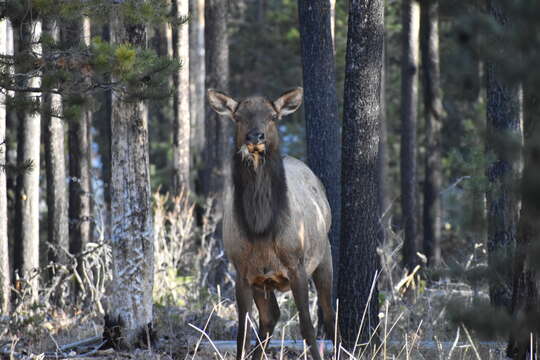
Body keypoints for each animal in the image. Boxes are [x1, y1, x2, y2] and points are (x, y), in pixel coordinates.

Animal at [209, 88, 340, 360]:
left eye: (272, 116)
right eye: (238, 117)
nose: (255, 136)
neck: (261, 232)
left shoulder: (297, 265)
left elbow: (307, 326)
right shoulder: (242, 271)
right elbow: (242, 333)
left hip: (324, 256)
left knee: (329, 313)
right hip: (263, 281)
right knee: (270, 316)